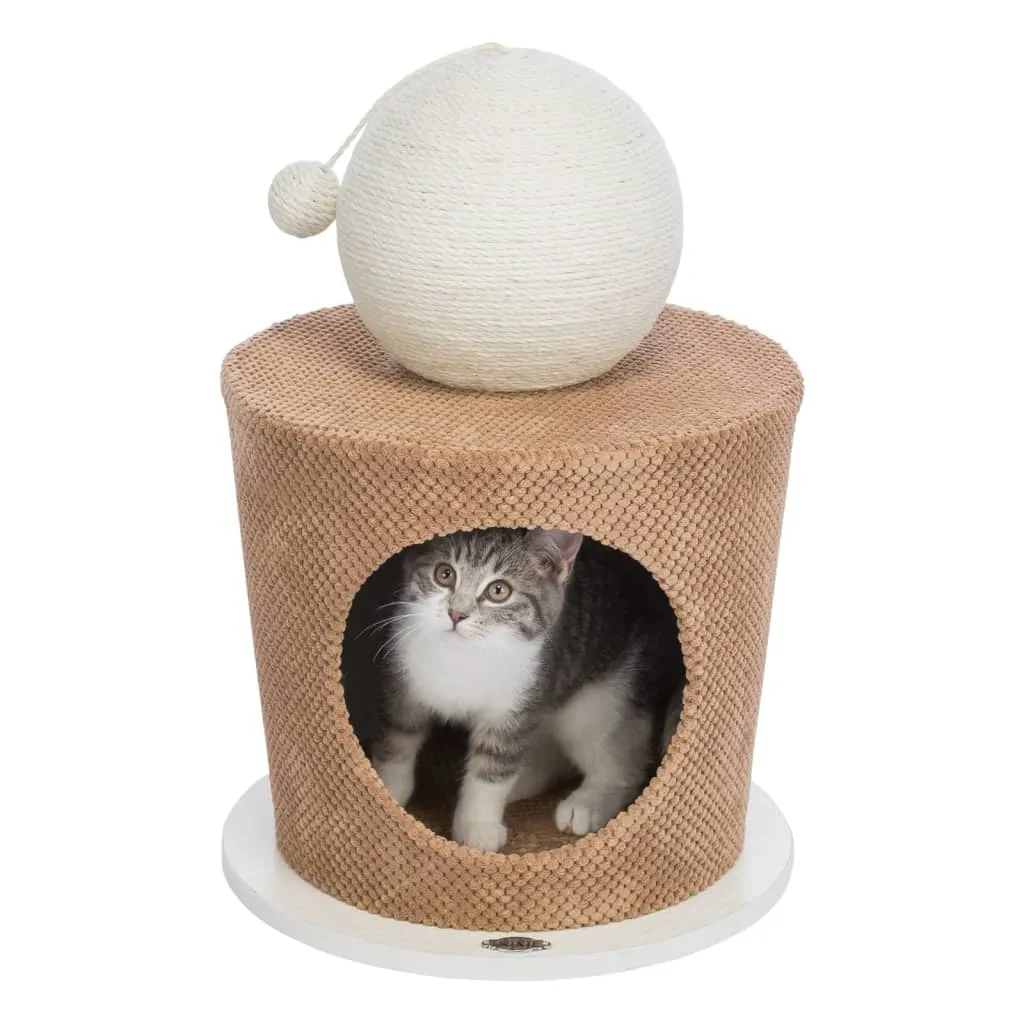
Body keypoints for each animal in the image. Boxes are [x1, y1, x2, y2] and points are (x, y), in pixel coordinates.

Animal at [370, 528, 685, 852]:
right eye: (444, 574)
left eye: (499, 591)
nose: (456, 613)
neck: (464, 656)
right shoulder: (403, 683)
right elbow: (397, 740)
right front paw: (387, 794)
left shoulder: (518, 704)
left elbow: (494, 765)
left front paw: (477, 825)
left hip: (604, 697)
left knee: (623, 765)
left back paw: (585, 804)